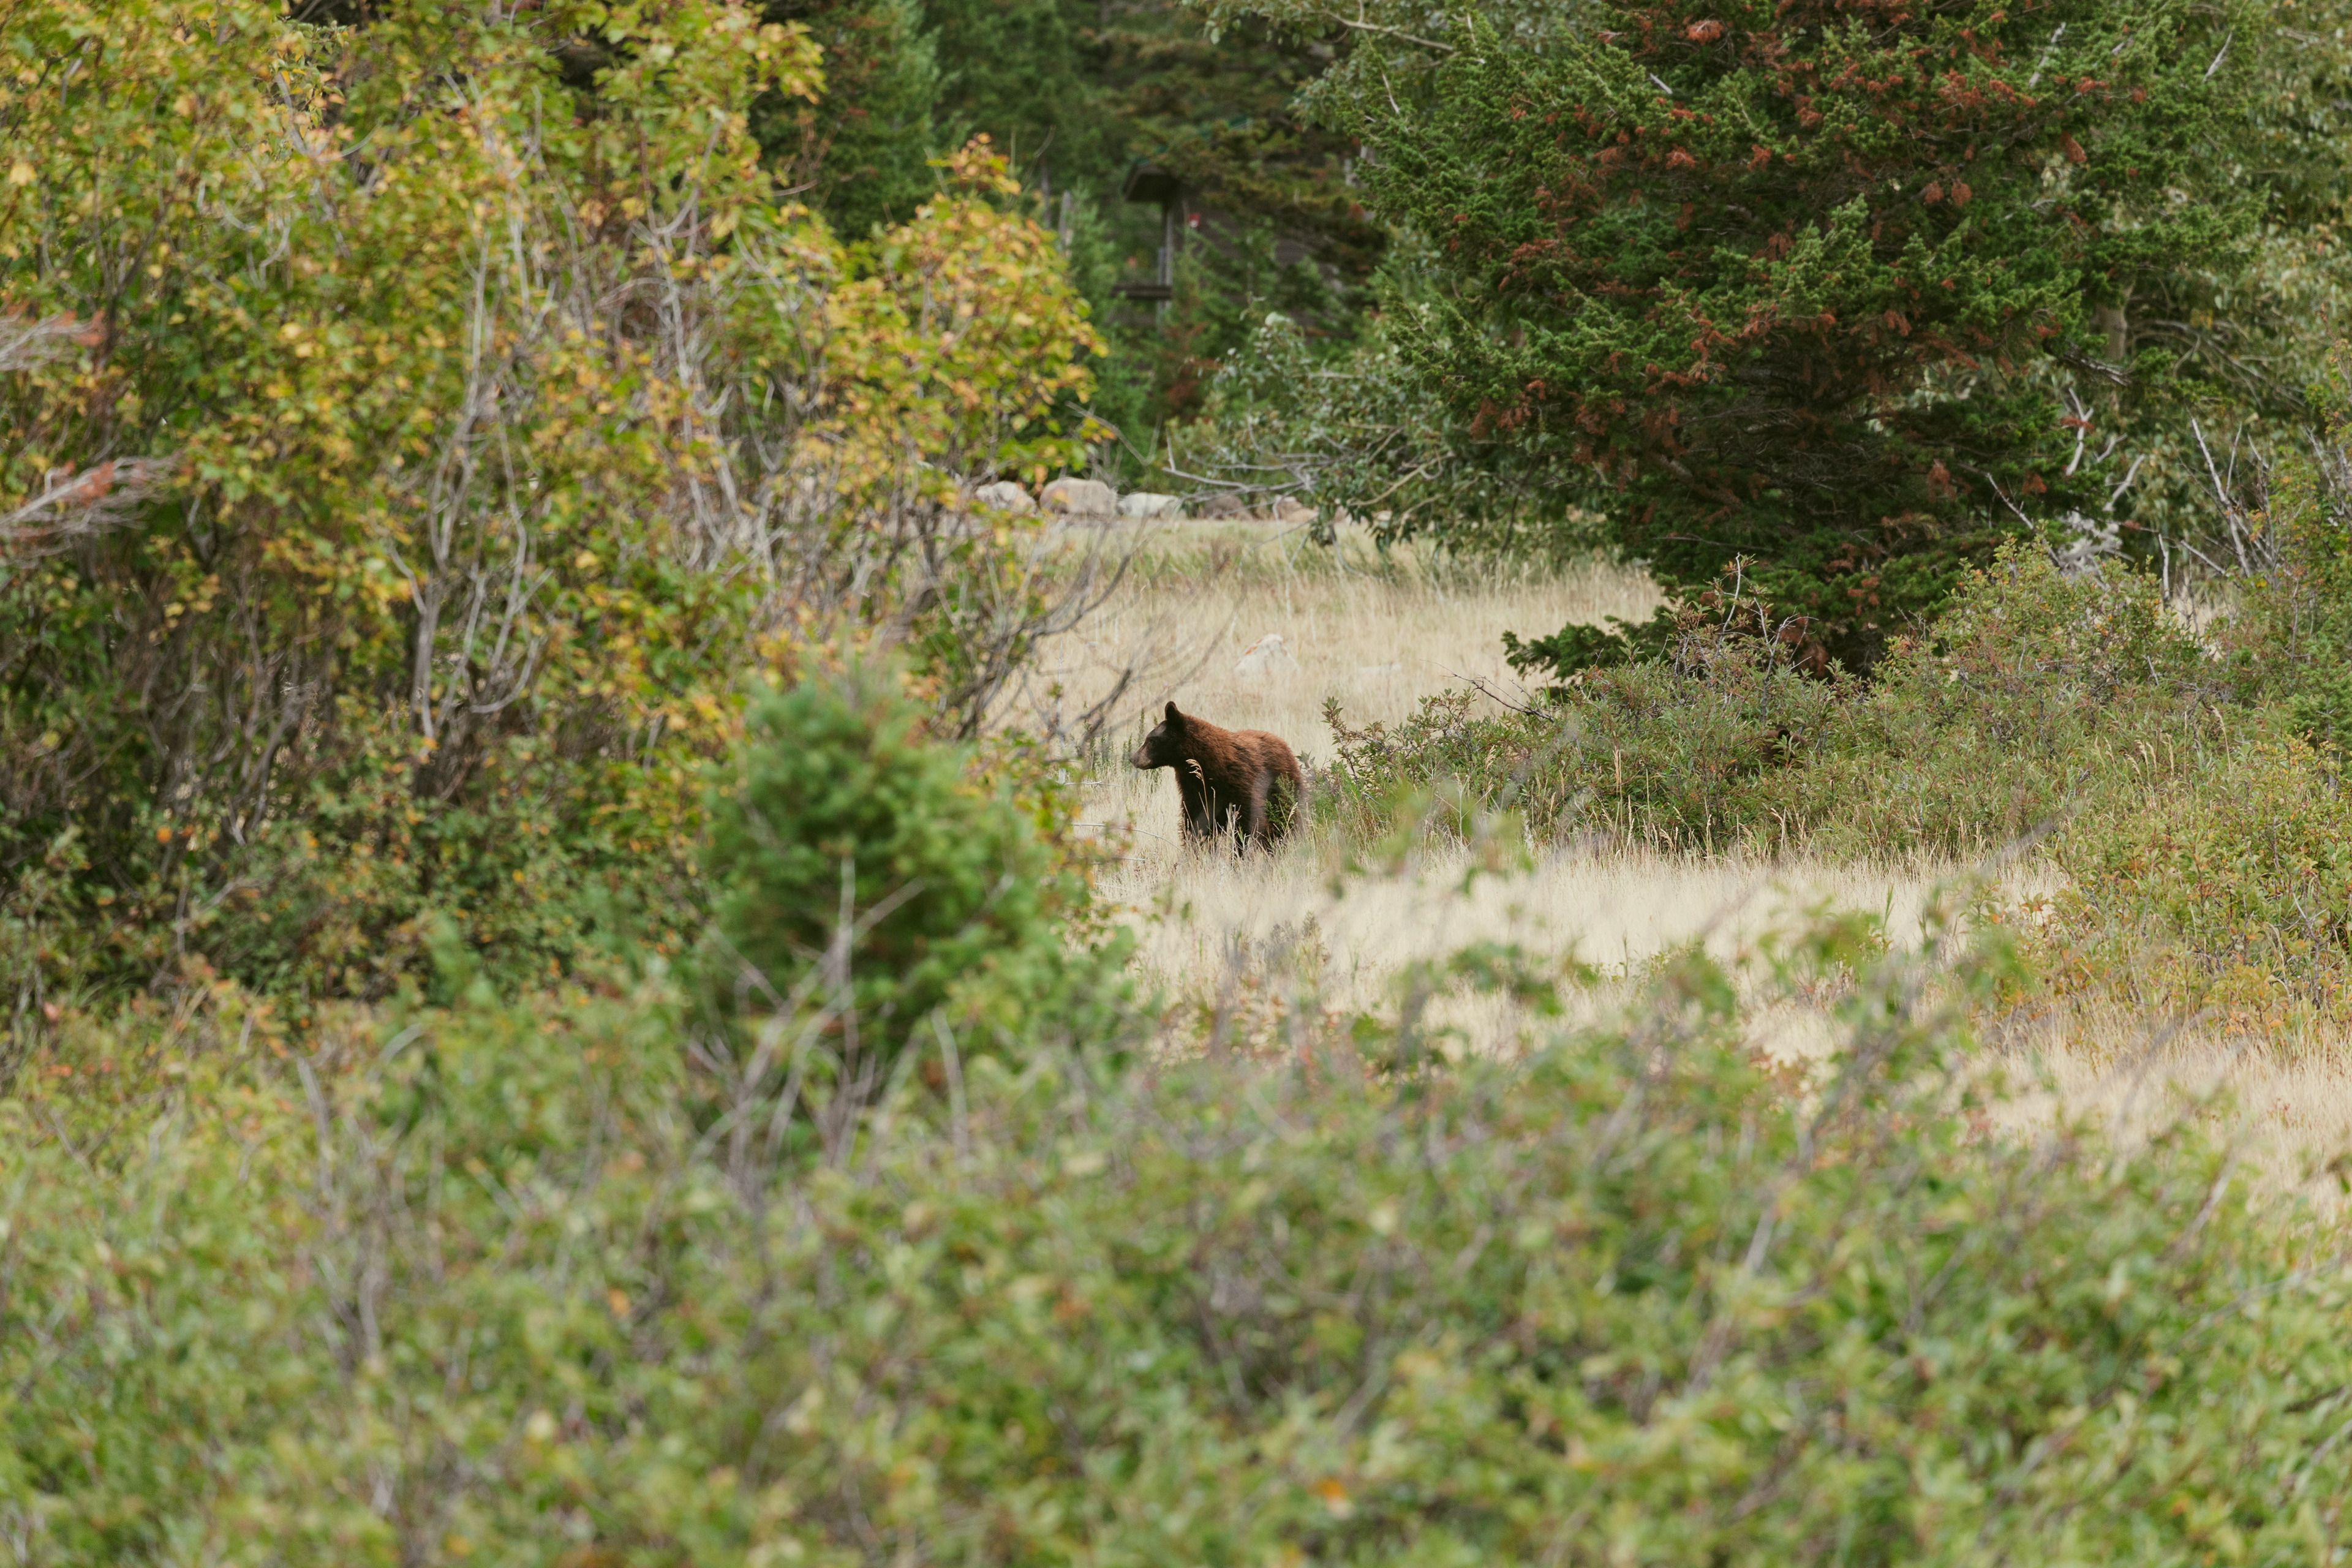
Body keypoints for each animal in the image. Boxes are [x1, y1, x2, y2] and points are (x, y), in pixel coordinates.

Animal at [1130, 701, 1305, 853]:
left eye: (1151, 741)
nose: (1133, 758)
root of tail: (1284, 744)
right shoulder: (1194, 791)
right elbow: (1194, 823)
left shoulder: (1242, 786)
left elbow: (1247, 823)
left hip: (1283, 789)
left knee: (1284, 820)